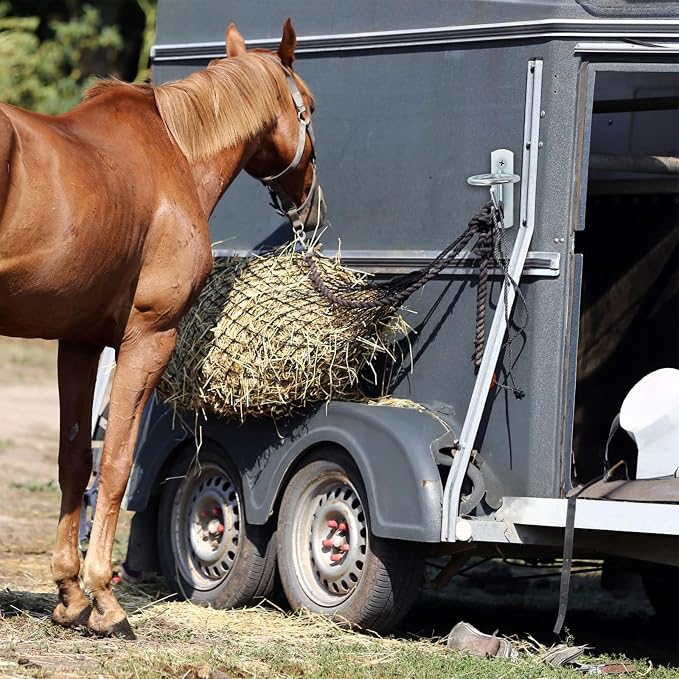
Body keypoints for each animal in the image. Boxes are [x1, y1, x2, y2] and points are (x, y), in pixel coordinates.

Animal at [0, 19, 324, 639]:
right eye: (310, 109)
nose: (312, 204)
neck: (174, 153)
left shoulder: (79, 342)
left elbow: (75, 460)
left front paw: (70, 594)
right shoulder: (149, 337)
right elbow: (117, 463)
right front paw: (105, 600)